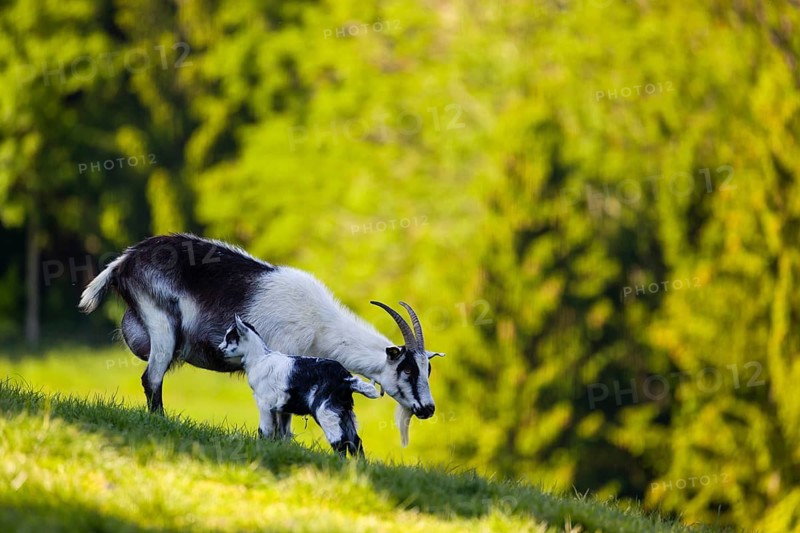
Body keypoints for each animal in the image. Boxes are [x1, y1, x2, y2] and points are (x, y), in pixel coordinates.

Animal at [219, 315, 379, 456]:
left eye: (230, 339)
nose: (219, 349)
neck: (260, 359)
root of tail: (346, 379)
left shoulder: (264, 403)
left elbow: (265, 430)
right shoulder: (282, 409)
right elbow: (283, 433)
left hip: (326, 410)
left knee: (339, 442)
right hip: (344, 412)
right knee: (355, 442)